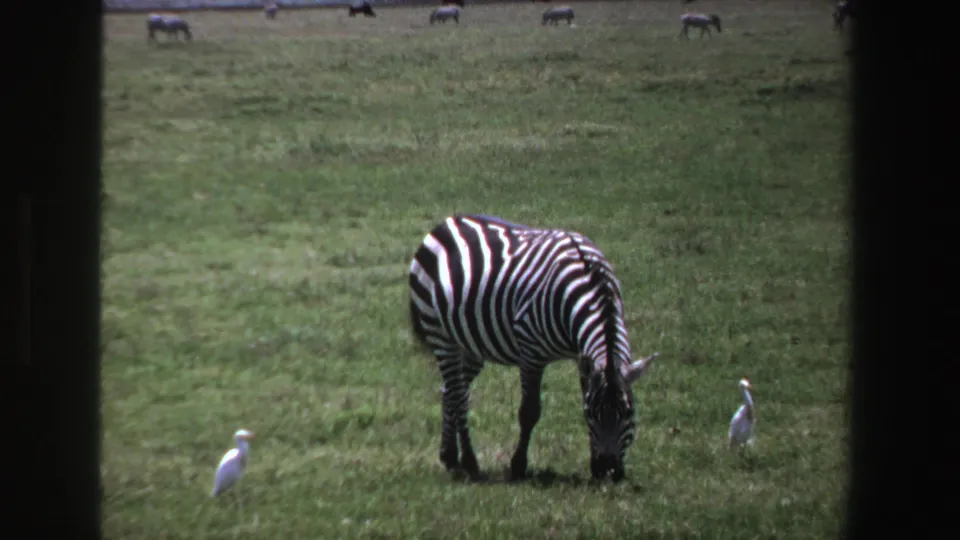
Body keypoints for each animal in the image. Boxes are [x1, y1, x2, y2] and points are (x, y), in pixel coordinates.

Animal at [409, 214, 658, 482]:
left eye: (628, 412)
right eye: (592, 414)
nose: (609, 472)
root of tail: (446, 222)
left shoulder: (582, 358)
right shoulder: (531, 352)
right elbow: (529, 411)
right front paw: (518, 466)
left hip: (469, 344)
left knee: (450, 390)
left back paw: (449, 456)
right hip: (440, 334)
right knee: (458, 395)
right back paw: (469, 461)